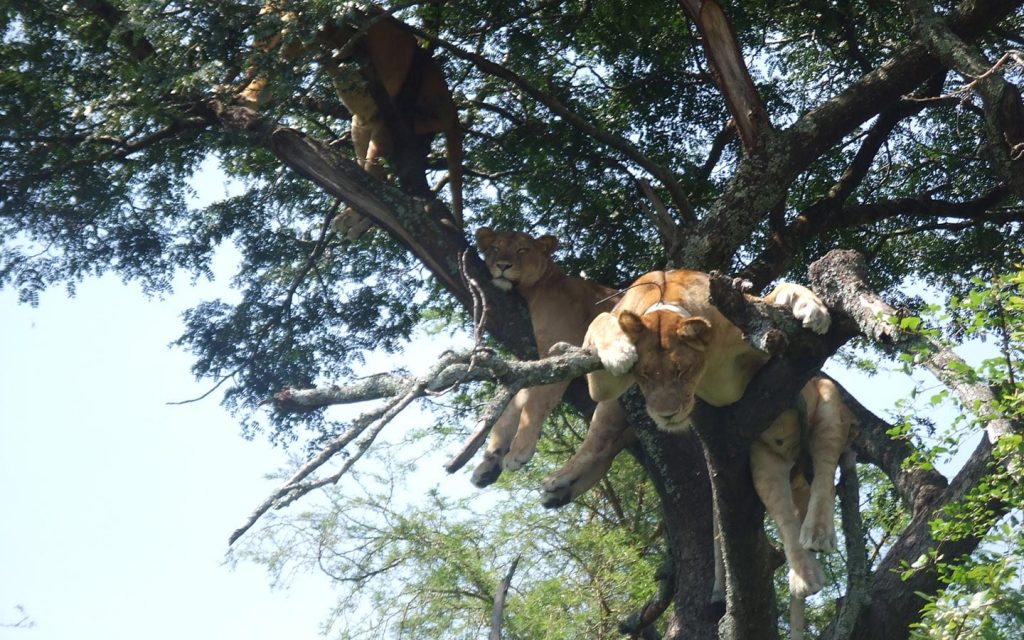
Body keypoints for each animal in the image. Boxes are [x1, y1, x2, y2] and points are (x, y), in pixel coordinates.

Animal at [237, 4, 462, 237]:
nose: (254, 44)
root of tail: (450, 106)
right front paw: (245, 96)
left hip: (390, 122)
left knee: (377, 180)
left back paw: (350, 219)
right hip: (361, 124)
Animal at [468, 227, 626, 497]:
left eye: (522, 250)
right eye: (495, 248)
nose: (502, 265)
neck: (538, 288)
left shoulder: (556, 356)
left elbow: (533, 404)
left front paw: (518, 452)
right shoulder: (530, 363)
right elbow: (513, 406)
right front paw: (490, 459)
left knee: (602, 438)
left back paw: (558, 480)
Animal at [552, 266, 856, 634]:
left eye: (681, 370)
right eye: (644, 375)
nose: (667, 415)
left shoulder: (758, 342)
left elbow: (778, 292)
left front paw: (814, 308)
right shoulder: (603, 384)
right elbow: (599, 320)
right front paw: (618, 350)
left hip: (827, 402)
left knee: (825, 470)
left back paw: (819, 532)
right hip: (764, 464)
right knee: (785, 516)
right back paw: (804, 576)